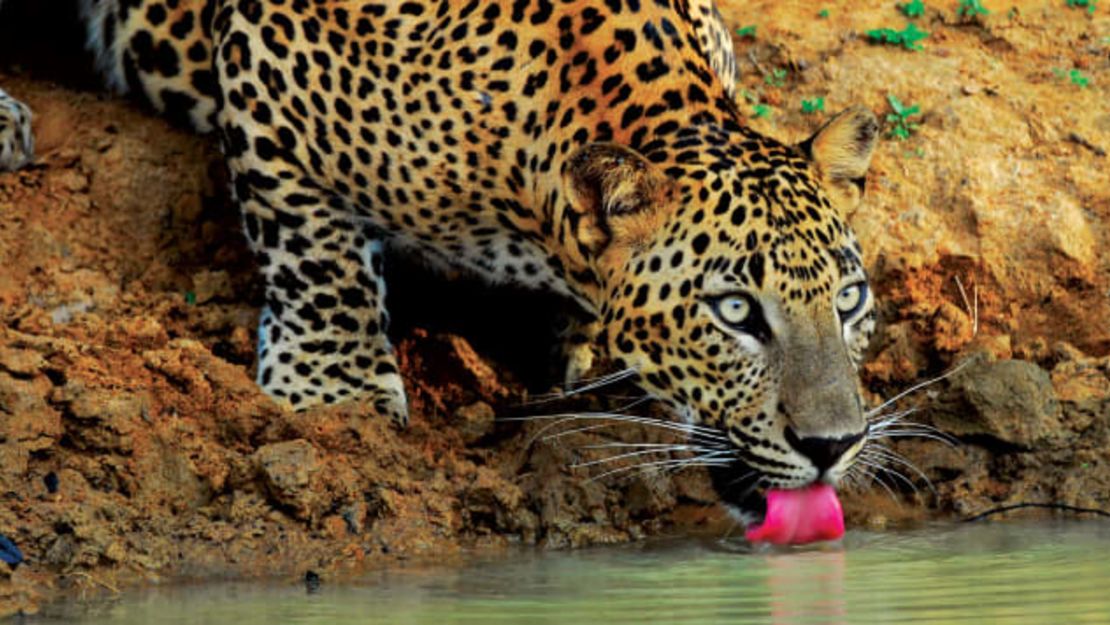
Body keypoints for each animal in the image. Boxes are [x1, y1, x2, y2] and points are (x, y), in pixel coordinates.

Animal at [2, 0, 883, 526]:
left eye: (847, 300)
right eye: (735, 311)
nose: (834, 445)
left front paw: (573, 344)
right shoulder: (269, 64)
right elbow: (314, 250)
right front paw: (334, 393)